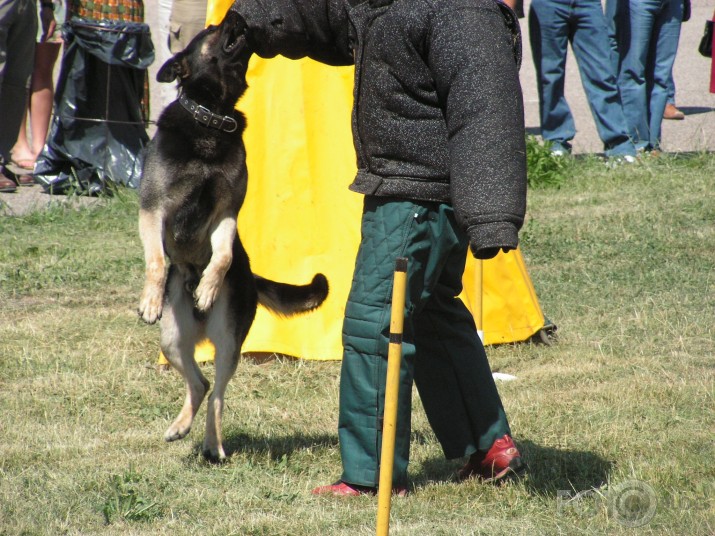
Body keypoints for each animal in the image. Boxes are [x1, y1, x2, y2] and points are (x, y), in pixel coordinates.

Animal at [137, 11, 330, 464]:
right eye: (211, 31)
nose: (237, 15)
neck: (212, 115)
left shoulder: (226, 214)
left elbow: (223, 256)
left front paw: (209, 286)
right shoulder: (153, 210)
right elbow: (156, 260)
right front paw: (149, 301)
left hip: (227, 342)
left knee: (217, 394)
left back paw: (212, 444)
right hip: (173, 340)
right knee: (200, 384)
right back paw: (180, 427)